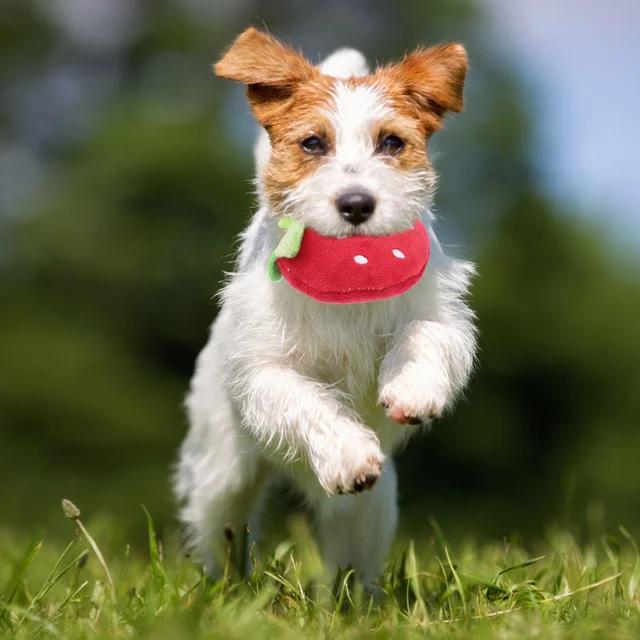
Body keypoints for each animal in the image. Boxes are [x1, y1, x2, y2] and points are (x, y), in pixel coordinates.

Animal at [172, 30, 478, 592]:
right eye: (313, 143)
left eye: (392, 143)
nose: (356, 204)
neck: (346, 279)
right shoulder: (265, 368)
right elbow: (305, 401)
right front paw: (347, 454)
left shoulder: (437, 312)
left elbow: (425, 334)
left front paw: (412, 388)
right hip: (222, 475)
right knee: (223, 530)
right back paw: (226, 592)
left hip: (371, 511)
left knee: (348, 558)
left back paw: (348, 602)